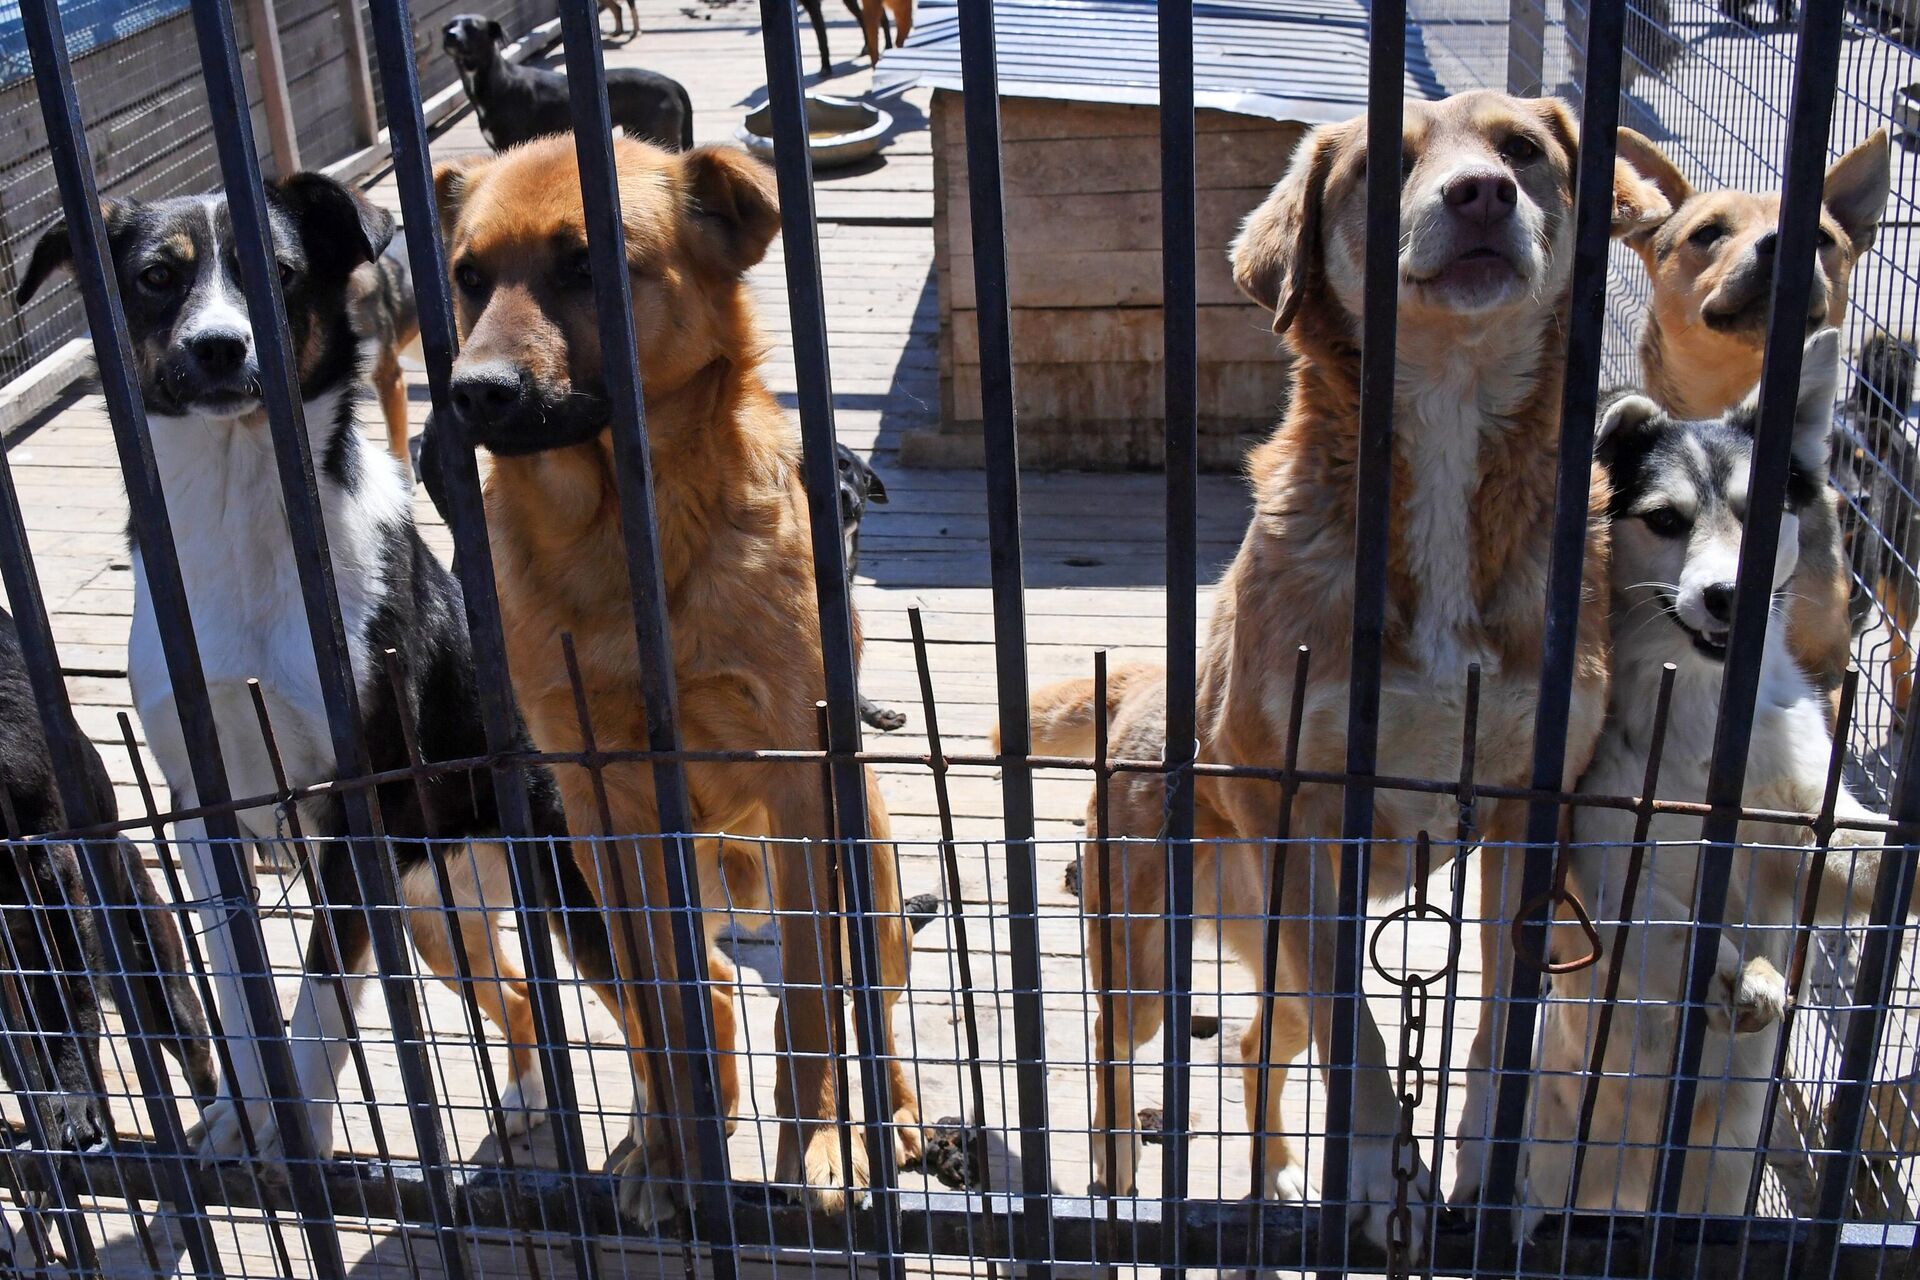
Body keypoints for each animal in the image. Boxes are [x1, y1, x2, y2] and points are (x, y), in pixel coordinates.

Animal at [433, 135, 921, 1228]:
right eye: (469, 278)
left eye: (589, 263)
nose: (474, 391)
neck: (620, 542)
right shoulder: (598, 813)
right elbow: (663, 1010)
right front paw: (667, 1148)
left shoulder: (800, 787)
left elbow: (815, 1005)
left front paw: (822, 1145)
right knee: (700, 991)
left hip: (863, 859)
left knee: (869, 1000)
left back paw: (897, 1116)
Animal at [443, 14, 698, 153]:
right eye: (448, 27)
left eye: (473, 28)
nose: (451, 36)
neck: (496, 83)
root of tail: (672, 83)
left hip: (661, 137)